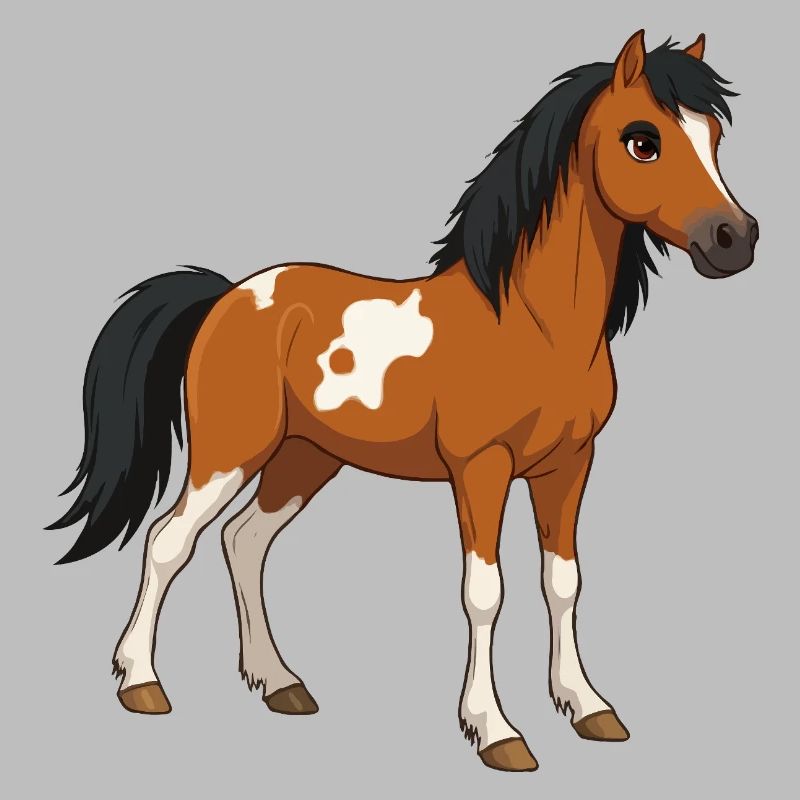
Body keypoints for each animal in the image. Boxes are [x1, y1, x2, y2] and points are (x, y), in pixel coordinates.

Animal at [49, 30, 758, 772]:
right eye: (642, 140)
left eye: (713, 135)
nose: (735, 239)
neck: (531, 325)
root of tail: (229, 294)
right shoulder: (481, 469)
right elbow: (485, 593)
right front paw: (495, 731)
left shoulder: (569, 466)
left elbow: (563, 582)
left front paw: (589, 707)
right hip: (230, 453)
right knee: (169, 541)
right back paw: (141, 683)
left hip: (305, 459)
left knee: (244, 542)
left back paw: (280, 684)